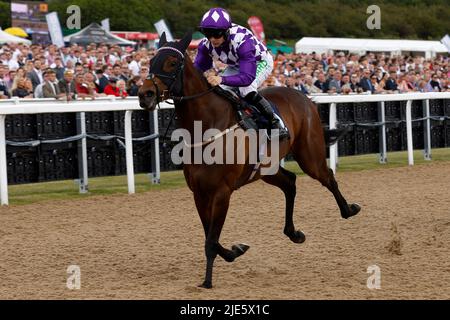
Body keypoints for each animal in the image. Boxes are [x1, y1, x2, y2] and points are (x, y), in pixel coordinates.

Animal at [139, 32, 360, 290]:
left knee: (327, 177)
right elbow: (210, 237)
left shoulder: (222, 192)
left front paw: (207, 281)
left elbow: (211, 241)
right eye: (152, 60)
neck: (206, 125)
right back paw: (294, 233)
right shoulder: (199, 193)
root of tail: (304, 97)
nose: (144, 94)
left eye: (172, 63)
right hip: (267, 169)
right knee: (290, 182)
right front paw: (235, 250)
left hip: (309, 155)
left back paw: (348, 210)